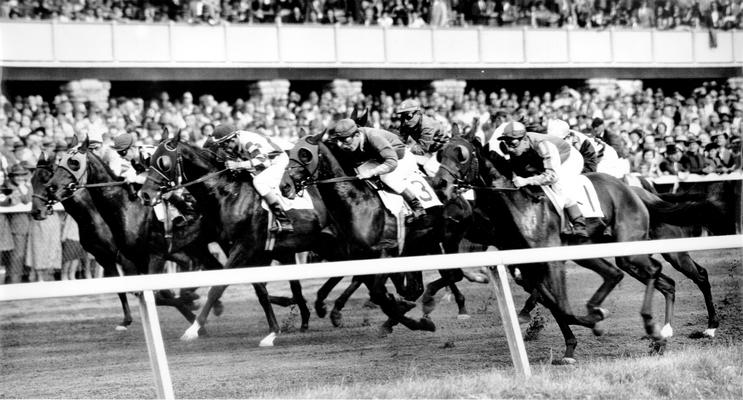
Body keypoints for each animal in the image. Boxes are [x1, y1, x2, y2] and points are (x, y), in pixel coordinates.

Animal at [42, 138, 224, 324]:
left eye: (74, 162)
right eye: (60, 160)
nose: (51, 187)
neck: (126, 207)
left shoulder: (154, 256)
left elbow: (158, 293)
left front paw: (191, 301)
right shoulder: (133, 259)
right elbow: (154, 294)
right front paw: (191, 301)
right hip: (195, 246)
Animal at [140, 130, 436, 346]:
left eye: (163, 162)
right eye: (147, 161)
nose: (144, 194)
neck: (228, 193)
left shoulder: (246, 247)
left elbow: (218, 286)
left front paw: (193, 329)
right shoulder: (252, 250)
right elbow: (261, 291)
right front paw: (273, 331)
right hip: (338, 245)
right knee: (369, 277)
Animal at [434, 125, 724, 362]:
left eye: (461, 154)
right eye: (439, 153)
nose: (439, 184)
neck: (519, 201)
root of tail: (637, 192)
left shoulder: (551, 261)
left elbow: (561, 305)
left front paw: (595, 322)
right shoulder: (530, 266)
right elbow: (554, 305)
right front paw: (570, 347)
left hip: (648, 250)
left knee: (690, 274)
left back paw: (703, 327)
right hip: (622, 255)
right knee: (665, 282)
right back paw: (662, 335)